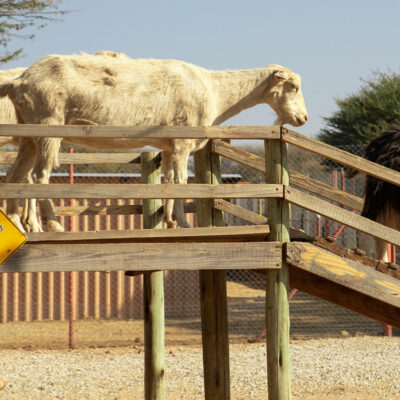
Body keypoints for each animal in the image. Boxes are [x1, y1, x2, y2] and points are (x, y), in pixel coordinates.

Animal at [0, 52, 308, 231]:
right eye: (293, 86)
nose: (303, 117)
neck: (216, 91)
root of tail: (19, 81)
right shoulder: (183, 142)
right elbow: (183, 182)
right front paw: (183, 223)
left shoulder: (170, 145)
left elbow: (169, 181)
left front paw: (169, 220)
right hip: (47, 125)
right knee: (38, 176)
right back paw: (44, 225)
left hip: (28, 133)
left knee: (17, 177)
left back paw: (18, 225)